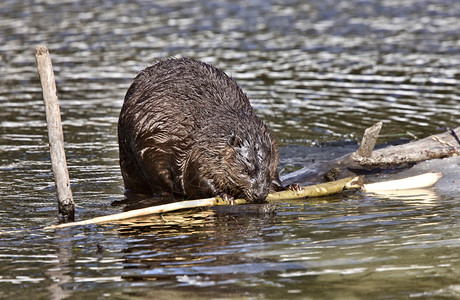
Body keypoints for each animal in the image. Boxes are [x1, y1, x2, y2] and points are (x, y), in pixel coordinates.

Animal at [117, 57, 284, 203]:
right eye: (245, 171)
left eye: (267, 170)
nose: (259, 194)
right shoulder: (200, 151)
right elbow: (195, 178)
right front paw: (225, 196)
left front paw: (285, 186)